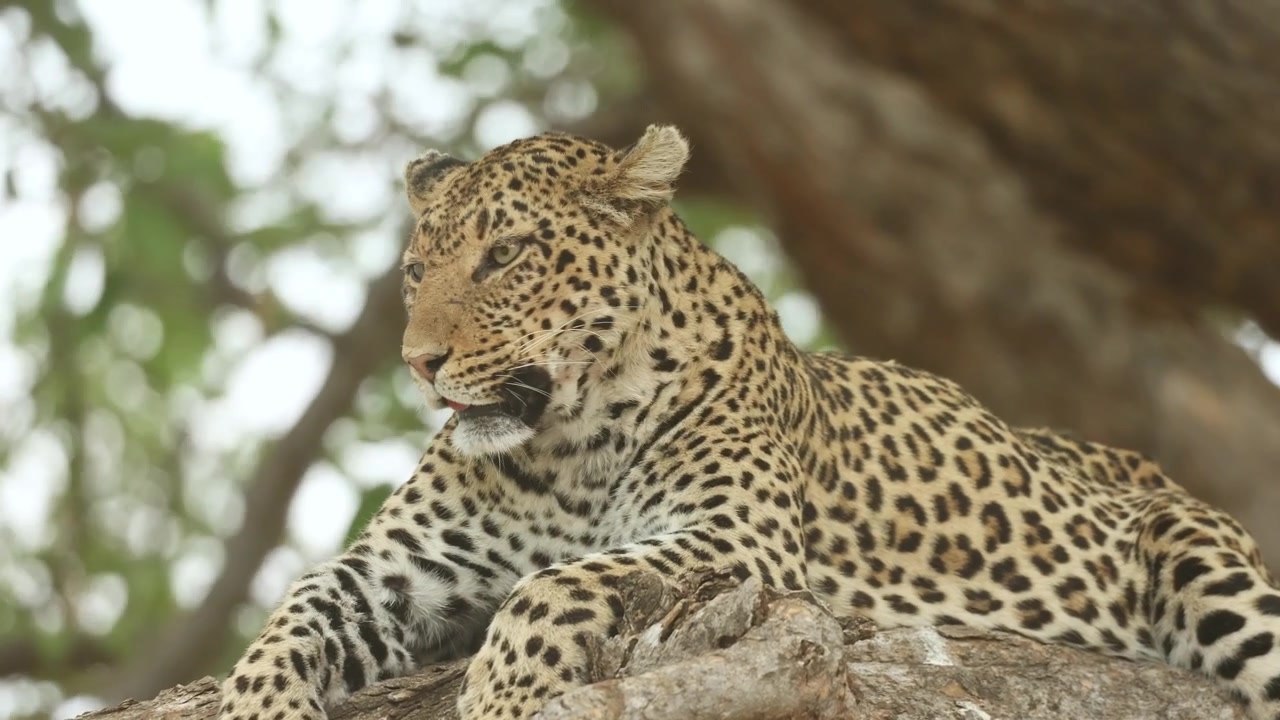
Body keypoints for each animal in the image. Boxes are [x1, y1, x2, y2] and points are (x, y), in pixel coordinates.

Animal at [217, 125, 1280, 720]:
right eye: (413, 273)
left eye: (506, 255)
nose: (419, 362)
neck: (562, 445)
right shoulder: (399, 568)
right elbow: (291, 613)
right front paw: (256, 707)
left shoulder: (742, 544)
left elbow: (552, 582)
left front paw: (505, 692)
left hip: (1208, 561)